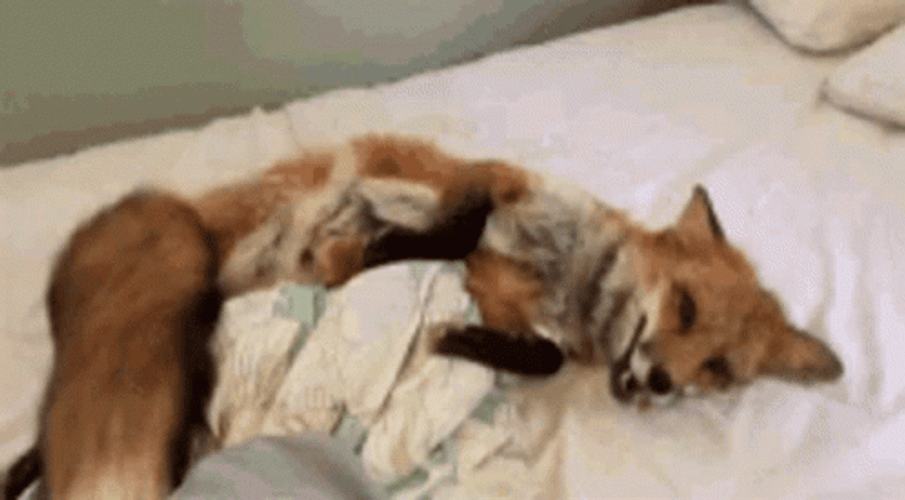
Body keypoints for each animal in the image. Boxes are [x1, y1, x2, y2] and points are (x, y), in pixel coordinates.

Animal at [3, 135, 842, 499]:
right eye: (687, 306)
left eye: (719, 372)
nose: (659, 383)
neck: (565, 277)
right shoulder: (428, 195)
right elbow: (436, 227)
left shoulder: (516, 311)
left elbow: (537, 352)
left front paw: (468, 338)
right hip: (186, 277)